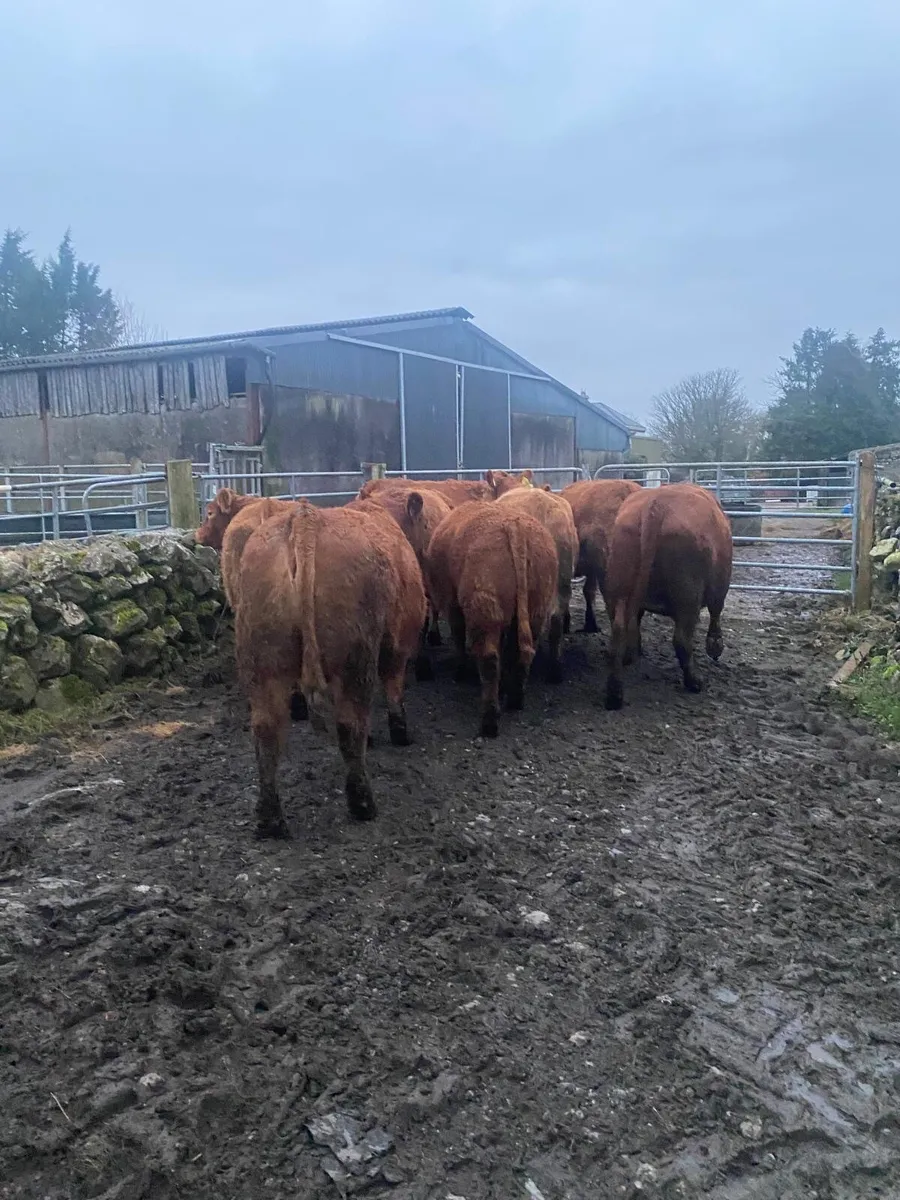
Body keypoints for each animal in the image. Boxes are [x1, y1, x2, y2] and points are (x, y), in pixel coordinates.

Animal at [235, 500, 426, 838]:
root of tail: (305, 517)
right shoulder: (398, 641)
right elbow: (393, 684)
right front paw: (400, 731)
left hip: (263, 665)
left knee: (266, 730)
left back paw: (271, 820)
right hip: (355, 660)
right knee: (350, 723)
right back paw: (363, 804)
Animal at [425, 503, 557, 737]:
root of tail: (515, 527)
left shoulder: (452, 603)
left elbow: (458, 635)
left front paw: (461, 671)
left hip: (485, 607)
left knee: (489, 659)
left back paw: (489, 720)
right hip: (535, 607)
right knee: (521, 652)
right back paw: (515, 699)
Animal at [602, 483, 732, 710]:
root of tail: (654, 506)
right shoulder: (719, 585)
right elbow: (716, 609)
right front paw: (715, 647)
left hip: (618, 584)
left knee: (619, 629)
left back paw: (615, 693)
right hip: (688, 593)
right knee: (681, 639)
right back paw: (695, 681)